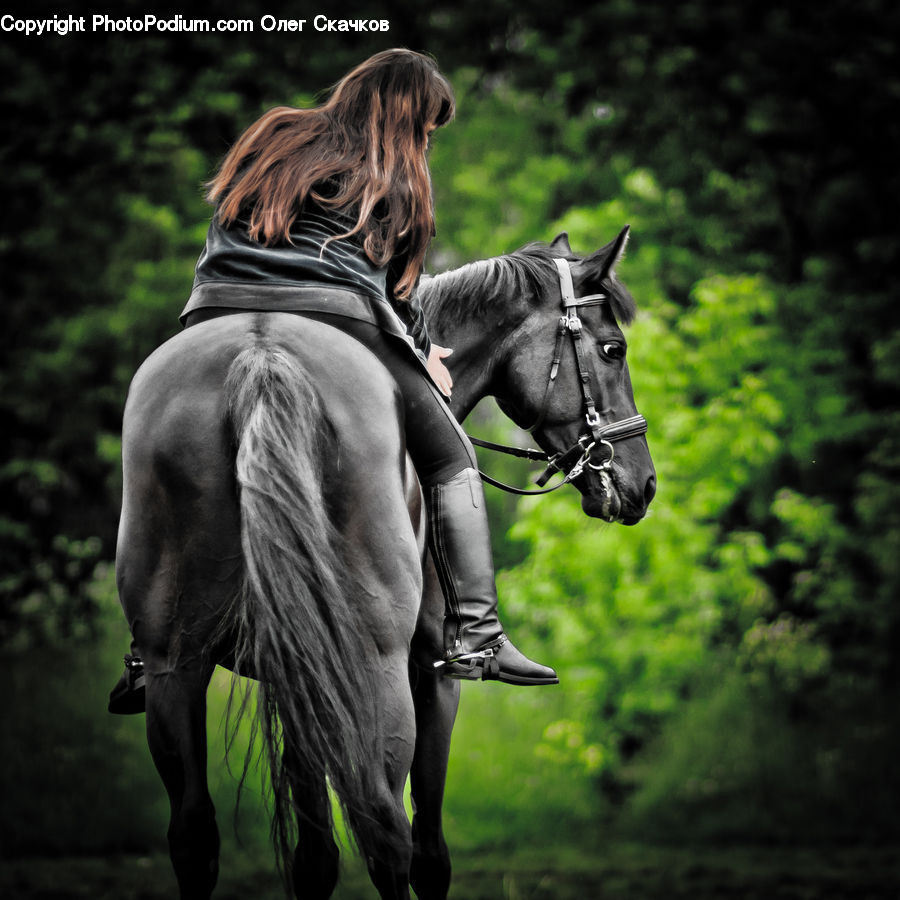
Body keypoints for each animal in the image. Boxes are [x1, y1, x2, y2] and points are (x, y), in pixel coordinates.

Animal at [114, 226, 655, 900]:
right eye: (612, 349)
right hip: (379, 667)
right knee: (385, 826)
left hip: (175, 663)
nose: (643, 484)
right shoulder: (434, 676)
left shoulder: (296, 671)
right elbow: (428, 850)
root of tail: (262, 358)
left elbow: (315, 853)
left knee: (194, 834)